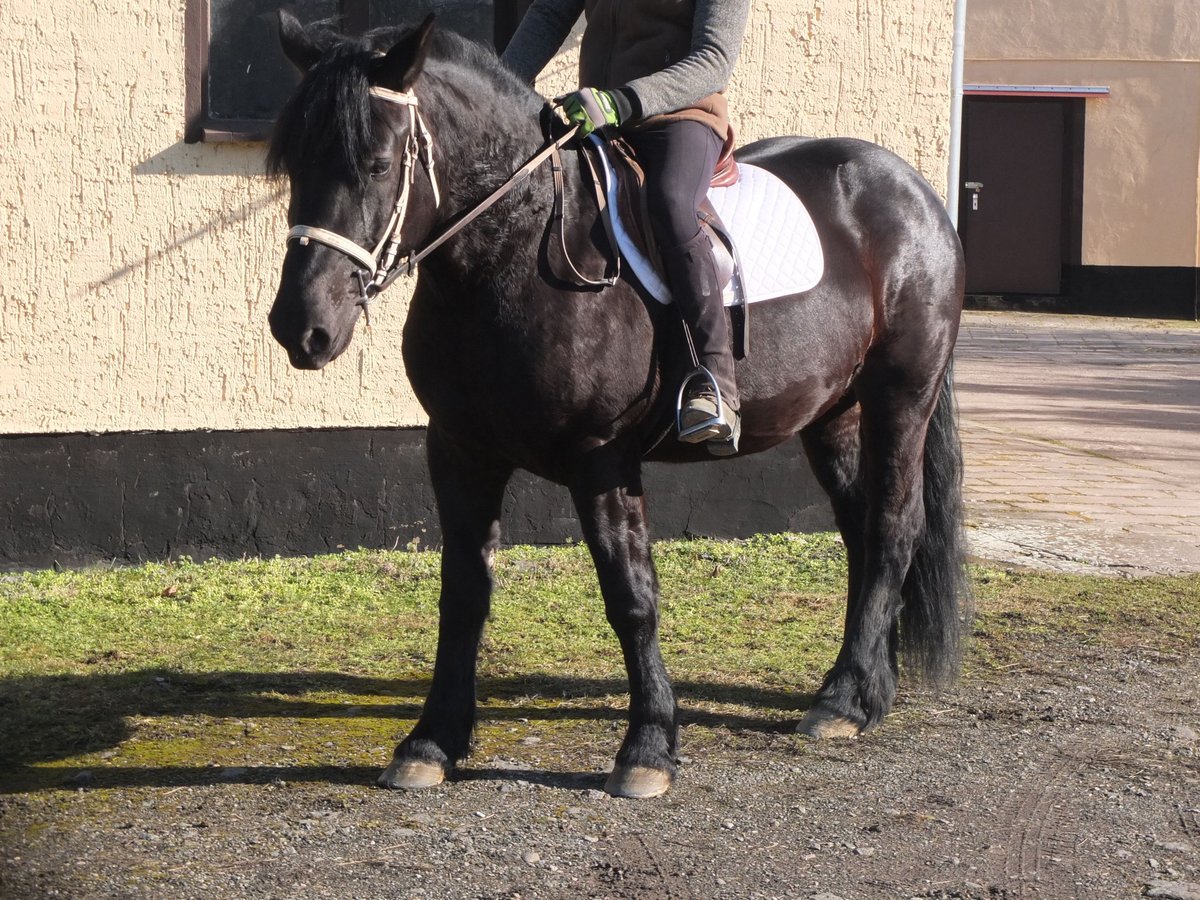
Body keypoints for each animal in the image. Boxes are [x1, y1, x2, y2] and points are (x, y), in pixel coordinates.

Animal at [267, 14, 969, 801]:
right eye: (293, 164)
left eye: (380, 162)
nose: (301, 327)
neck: (513, 252)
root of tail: (909, 186)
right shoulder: (459, 450)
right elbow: (464, 593)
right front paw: (431, 741)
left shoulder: (600, 458)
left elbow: (631, 595)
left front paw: (648, 748)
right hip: (833, 414)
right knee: (860, 532)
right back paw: (865, 690)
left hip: (901, 395)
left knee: (892, 527)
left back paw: (844, 700)